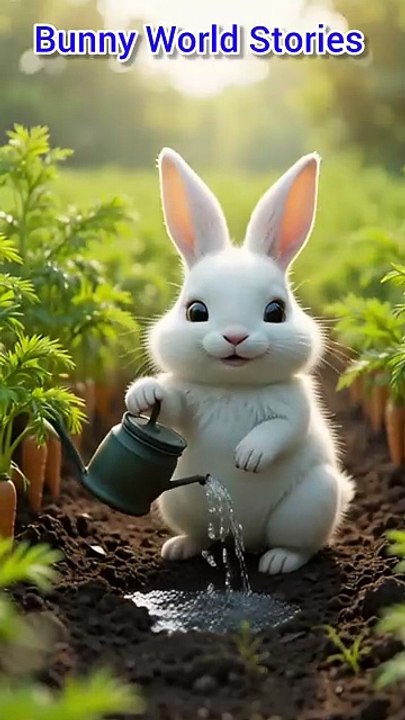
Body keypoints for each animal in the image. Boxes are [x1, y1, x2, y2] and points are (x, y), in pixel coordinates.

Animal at [125, 148, 355, 575]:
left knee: (299, 545)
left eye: (276, 311)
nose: (235, 337)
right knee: (202, 537)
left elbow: (282, 429)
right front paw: (142, 396)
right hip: (177, 502)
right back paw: (179, 548)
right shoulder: (186, 399)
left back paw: (277, 563)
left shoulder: (295, 406)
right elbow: (171, 405)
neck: (233, 386)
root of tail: (245, 542)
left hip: (310, 502)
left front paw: (248, 456)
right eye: (196, 311)